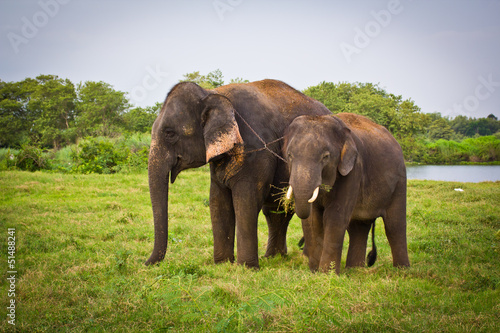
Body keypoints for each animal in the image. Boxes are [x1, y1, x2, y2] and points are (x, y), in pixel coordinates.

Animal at [146, 79, 332, 268]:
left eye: (169, 133)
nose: (146, 264)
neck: (212, 92)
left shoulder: (255, 150)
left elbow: (246, 200)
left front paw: (246, 267)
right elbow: (218, 201)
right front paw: (222, 264)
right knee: (276, 211)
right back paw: (274, 258)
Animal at [286, 113, 410, 272]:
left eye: (325, 157)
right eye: (289, 155)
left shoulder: (353, 170)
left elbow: (335, 217)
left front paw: (326, 274)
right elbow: (313, 219)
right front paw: (314, 271)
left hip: (399, 181)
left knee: (394, 225)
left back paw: (402, 270)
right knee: (358, 227)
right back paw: (355, 270)